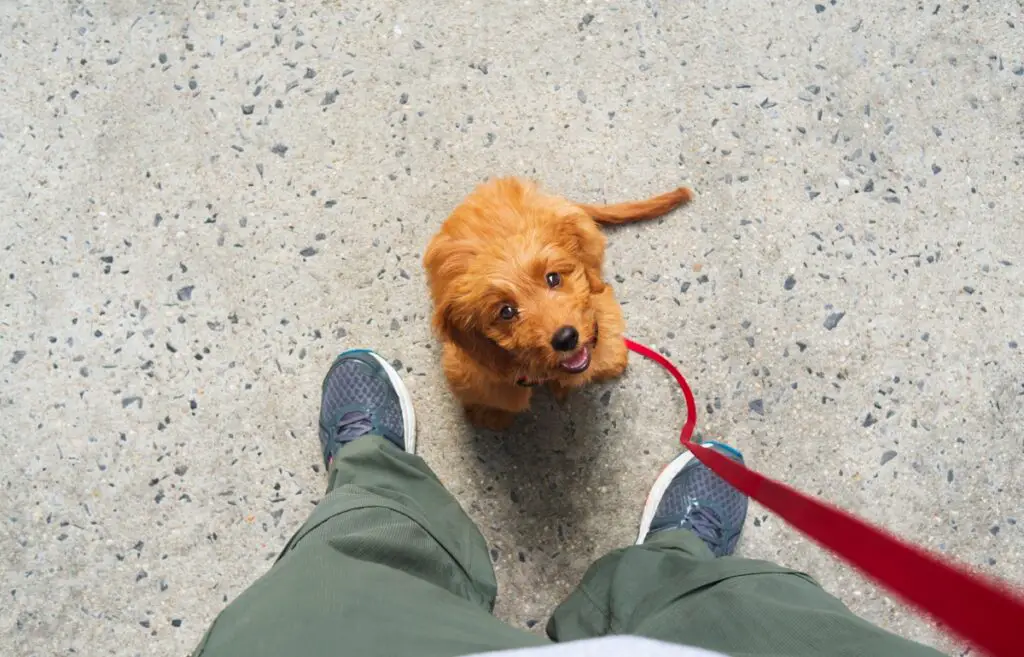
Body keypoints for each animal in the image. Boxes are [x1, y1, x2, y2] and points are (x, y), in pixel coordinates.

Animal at [419, 176, 692, 427]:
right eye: (506, 311)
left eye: (553, 278)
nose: (566, 338)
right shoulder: (475, 371)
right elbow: (496, 397)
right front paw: (489, 414)